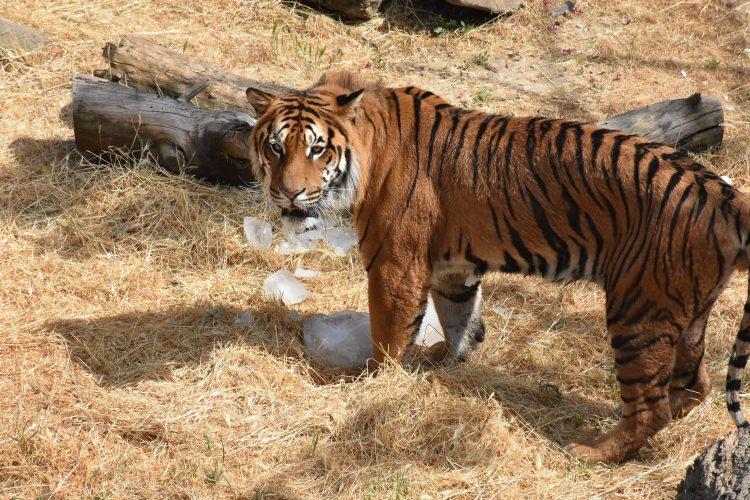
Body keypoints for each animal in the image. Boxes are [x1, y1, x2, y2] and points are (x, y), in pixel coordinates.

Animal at [247, 72, 750, 462]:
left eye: (317, 150)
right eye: (275, 148)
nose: (288, 193)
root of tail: (724, 194)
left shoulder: (394, 263)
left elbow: (389, 334)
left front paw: (375, 383)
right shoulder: (451, 271)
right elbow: (458, 320)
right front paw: (445, 362)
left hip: (638, 307)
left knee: (652, 405)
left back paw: (593, 451)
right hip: (685, 310)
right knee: (693, 385)